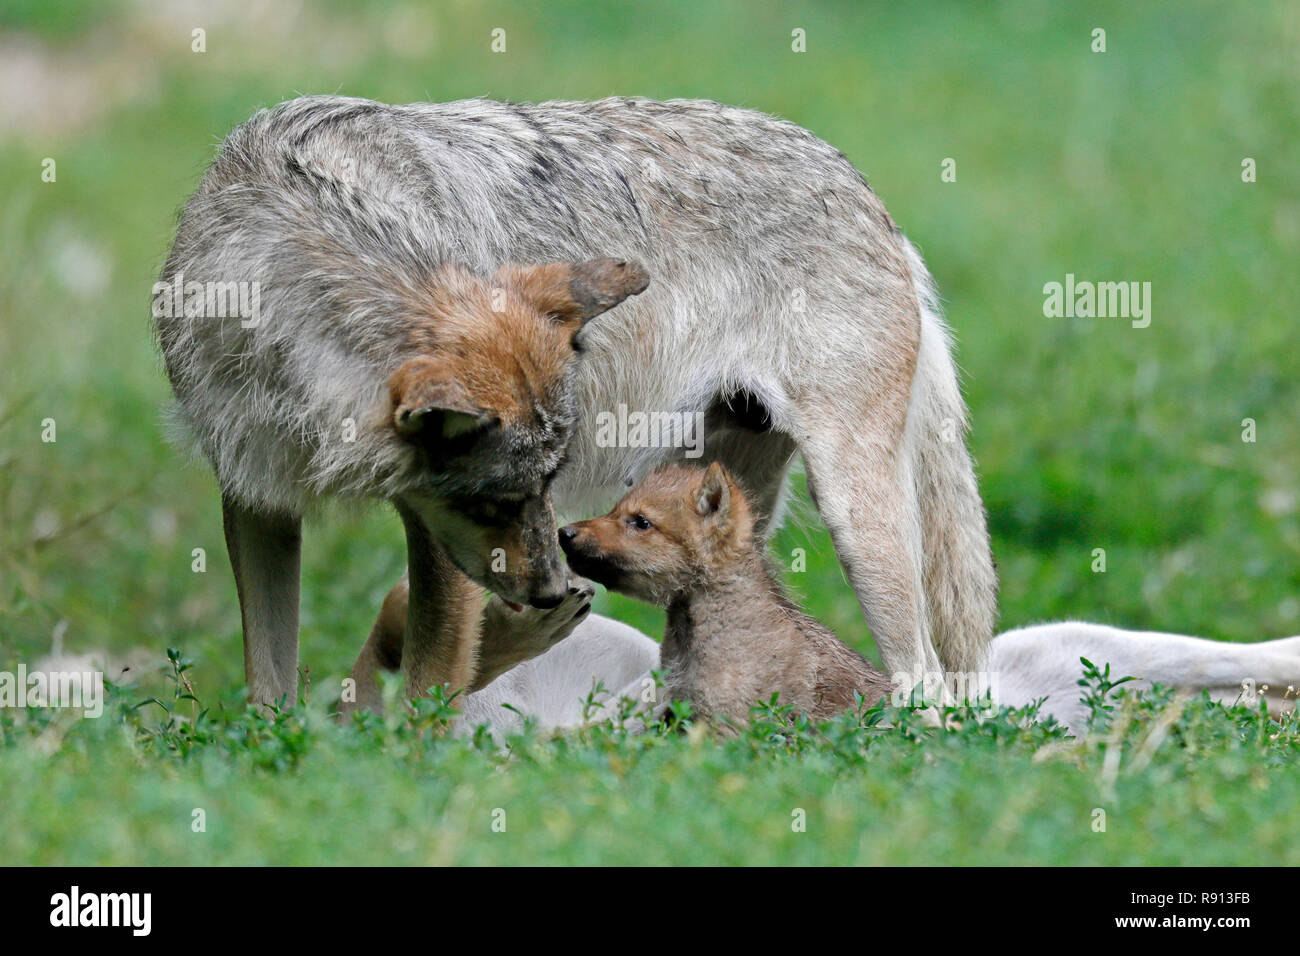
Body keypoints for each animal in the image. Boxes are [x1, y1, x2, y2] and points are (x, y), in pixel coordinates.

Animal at [154, 95, 993, 712]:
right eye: (499, 500)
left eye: (540, 489)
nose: (554, 585)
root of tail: (864, 190)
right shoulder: (257, 498)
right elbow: (269, 678)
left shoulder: (434, 536)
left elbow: (429, 683)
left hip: (857, 522)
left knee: (929, 685)